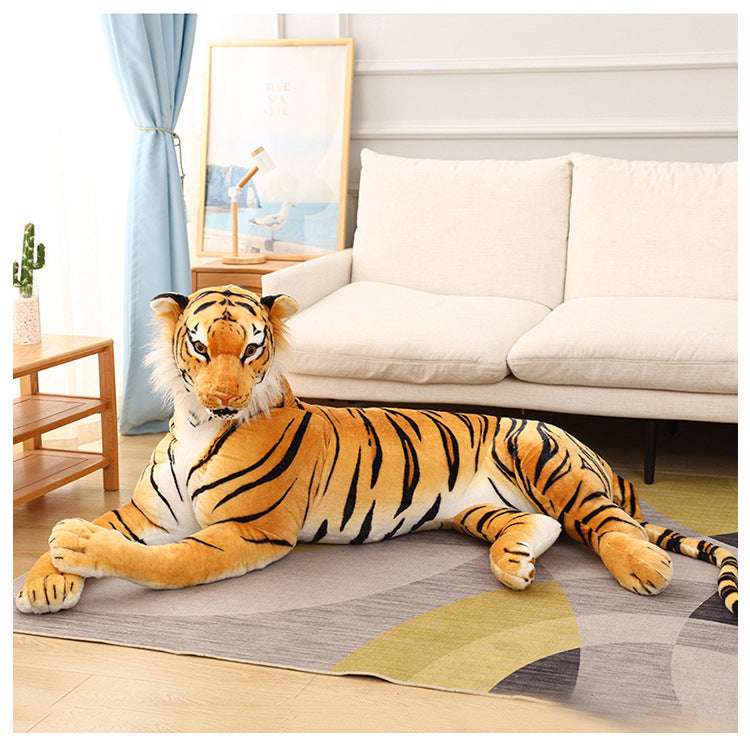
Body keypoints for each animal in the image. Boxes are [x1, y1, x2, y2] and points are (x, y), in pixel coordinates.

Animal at [16, 284, 738, 616]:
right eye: (199, 345)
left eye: (251, 348)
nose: (222, 400)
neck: (197, 427)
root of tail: (590, 448)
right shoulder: (147, 513)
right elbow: (115, 522)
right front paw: (44, 579)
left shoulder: (249, 530)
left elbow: (166, 563)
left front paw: (72, 543)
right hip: (479, 510)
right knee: (546, 525)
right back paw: (515, 566)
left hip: (542, 453)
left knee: (608, 525)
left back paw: (645, 568)